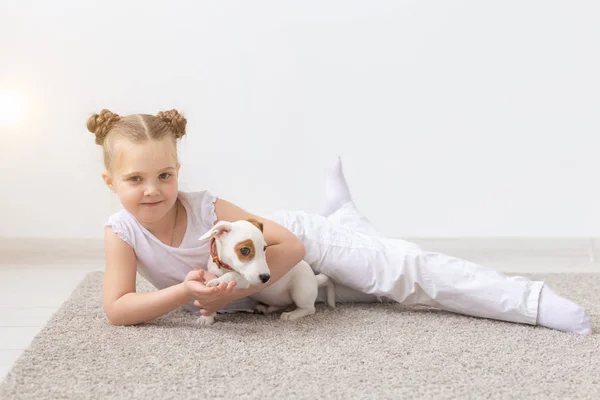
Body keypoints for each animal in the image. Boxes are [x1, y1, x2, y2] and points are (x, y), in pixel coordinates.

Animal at [198, 219, 336, 324]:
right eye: (245, 250)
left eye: (264, 248)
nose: (266, 278)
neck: (225, 267)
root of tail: (315, 279)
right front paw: (207, 318)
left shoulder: (245, 280)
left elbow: (233, 275)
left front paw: (218, 282)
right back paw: (266, 308)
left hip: (301, 292)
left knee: (309, 309)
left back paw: (291, 315)